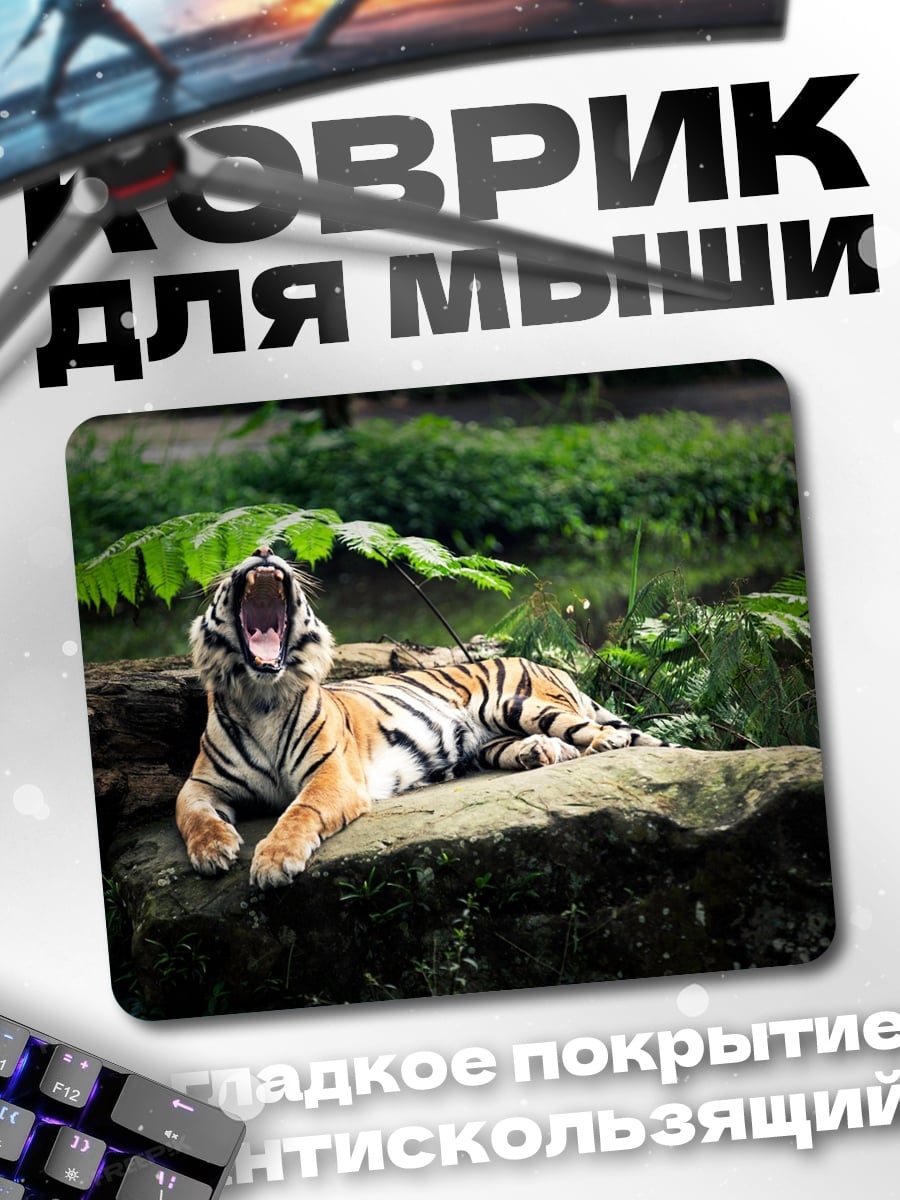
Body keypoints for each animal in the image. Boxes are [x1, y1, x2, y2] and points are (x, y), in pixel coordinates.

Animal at [175, 546, 664, 889]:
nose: (262, 551)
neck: (262, 694)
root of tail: (549, 664)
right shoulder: (201, 782)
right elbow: (191, 814)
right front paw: (214, 850)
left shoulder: (332, 775)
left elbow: (299, 811)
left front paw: (274, 861)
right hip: (491, 741)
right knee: (555, 746)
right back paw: (538, 753)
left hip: (516, 704)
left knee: (597, 731)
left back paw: (602, 742)